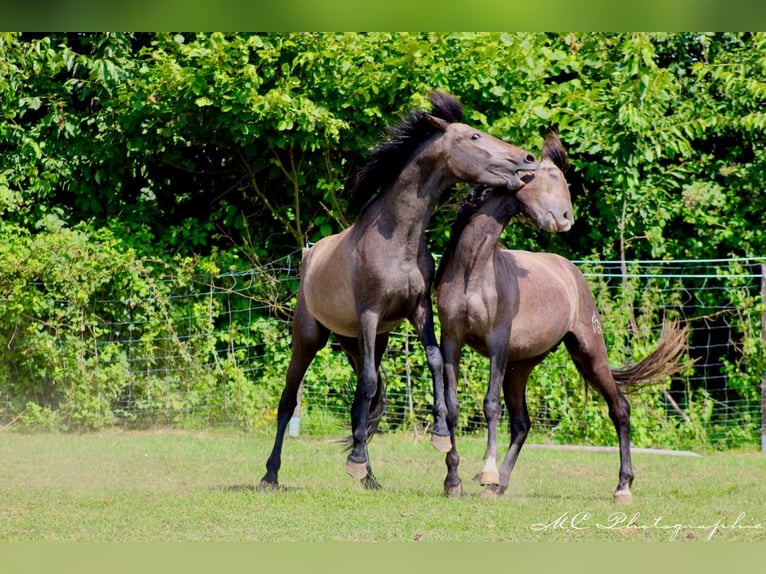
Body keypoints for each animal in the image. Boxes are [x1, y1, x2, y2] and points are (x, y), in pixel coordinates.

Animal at [262, 90, 544, 490]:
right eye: (473, 136)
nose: (527, 159)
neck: (396, 239)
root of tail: (309, 255)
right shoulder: (370, 314)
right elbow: (367, 384)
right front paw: (355, 461)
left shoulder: (418, 310)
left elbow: (434, 361)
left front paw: (439, 434)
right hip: (310, 336)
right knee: (290, 401)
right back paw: (271, 474)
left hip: (360, 342)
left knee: (362, 402)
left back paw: (368, 477)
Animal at [436, 134, 692, 504]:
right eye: (554, 176)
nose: (567, 218)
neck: (475, 269)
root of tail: (570, 271)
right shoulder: (451, 341)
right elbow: (454, 406)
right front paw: (453, 481)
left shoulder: (497, 345)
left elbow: (490, 405)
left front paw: (486, 474)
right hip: (521, 366)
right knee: (522, 423)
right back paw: (501, 485)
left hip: (588, 350)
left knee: (620, 408)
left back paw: (622, 487)